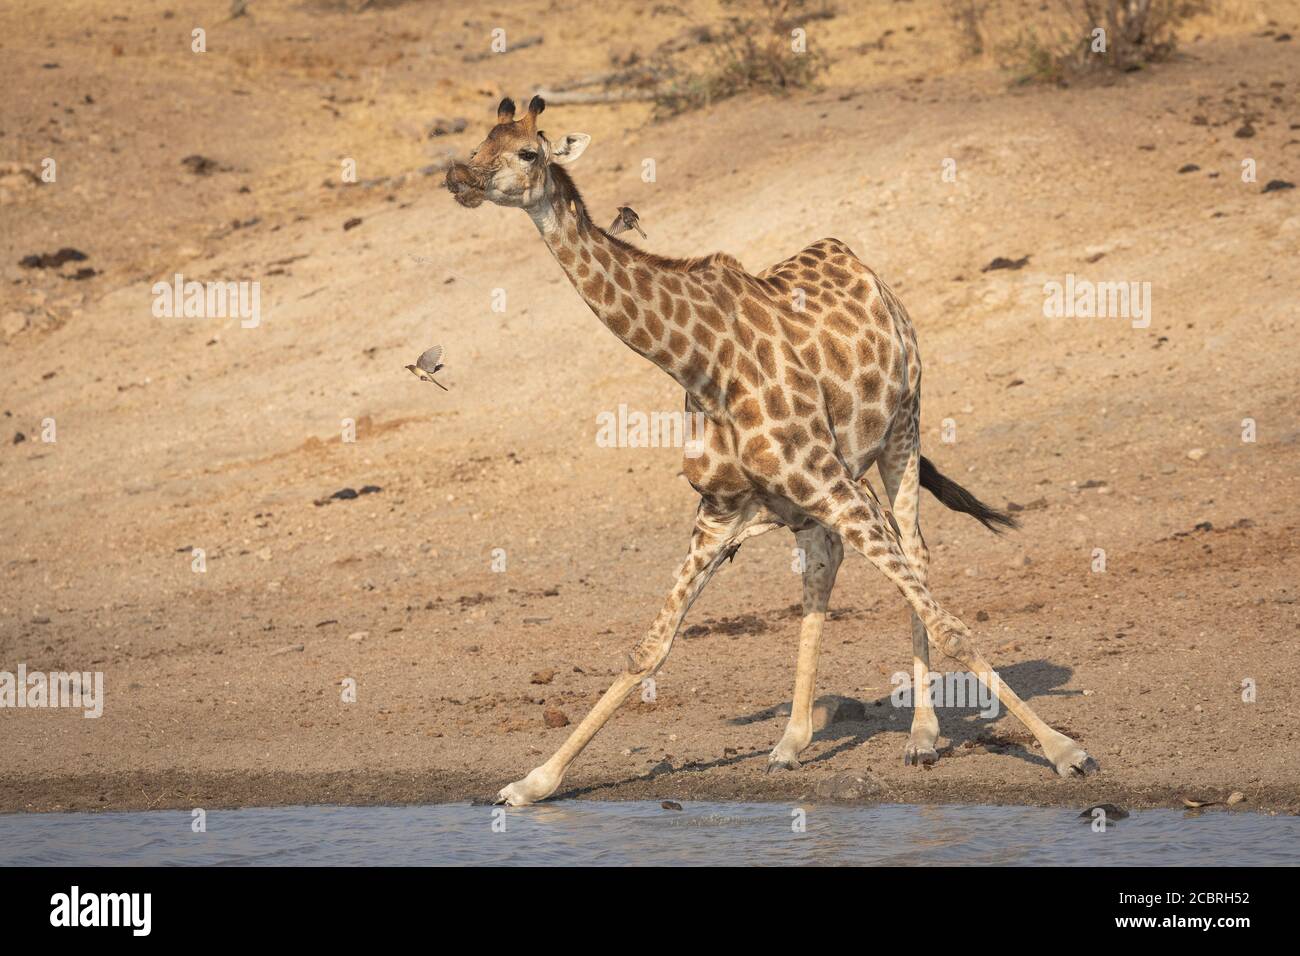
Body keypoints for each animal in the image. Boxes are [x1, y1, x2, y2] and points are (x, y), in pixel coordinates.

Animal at [445, 96, 1098, 806]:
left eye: (526, 152)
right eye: (478, 144)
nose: (459, 176)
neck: (699, 363)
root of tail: (863, 265)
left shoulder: (826, 479)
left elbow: (952, 624)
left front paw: (1066, 751)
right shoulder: (721, 509)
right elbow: (648, 648)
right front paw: (531, 783)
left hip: (903, 424)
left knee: (915, 555)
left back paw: (922, 736)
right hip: (820, 491)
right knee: (826, 566)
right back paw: (791, 742)